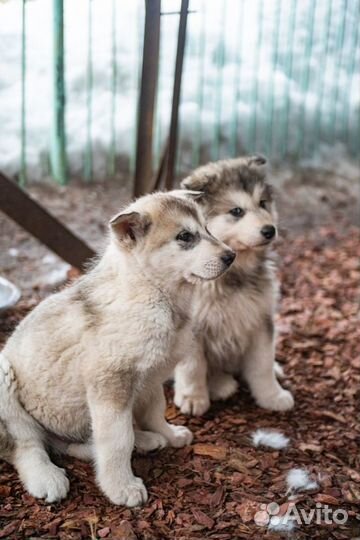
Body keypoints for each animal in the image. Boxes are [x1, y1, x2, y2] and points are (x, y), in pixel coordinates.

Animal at [0, 190, 233, 506]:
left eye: (207, 229)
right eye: (185, 236)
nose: (231, 256)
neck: (152, 292)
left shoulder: (150, 378)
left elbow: (155, 413)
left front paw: (169, 434)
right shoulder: (111, 384)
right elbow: (118, 440)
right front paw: (121, 487)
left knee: (67, 445)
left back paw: (145, 440)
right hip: (6, 382)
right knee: (26, 444)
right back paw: (46, 477)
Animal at [174, 156, 296, 418]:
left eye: (263, 203)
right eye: (236, 211)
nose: (270, 230)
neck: (233, 275)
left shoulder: (260, 319)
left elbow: (262, 364)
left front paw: (272, 396)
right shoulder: (193, 329)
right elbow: (193, 366)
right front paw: (193, 398)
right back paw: (220, 385)